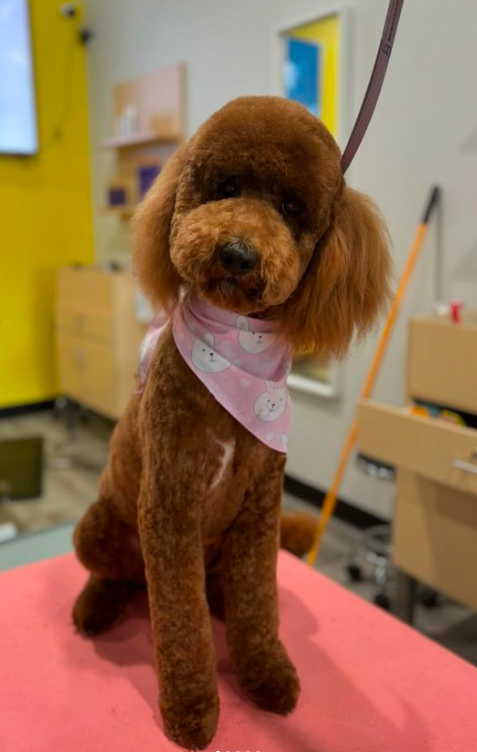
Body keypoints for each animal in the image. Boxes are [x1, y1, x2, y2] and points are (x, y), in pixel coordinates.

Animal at [71, 97, 390, 748]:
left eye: (292, 209)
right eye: (226, 187)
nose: (238, 254)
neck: (233, 359)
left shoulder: (259, 509)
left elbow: (258, 604)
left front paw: (266, 674)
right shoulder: (169, 506)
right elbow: (181, 624)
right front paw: (192, 709)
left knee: (209, 590)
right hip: (100, 528)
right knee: (118, 577)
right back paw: (96, 607)